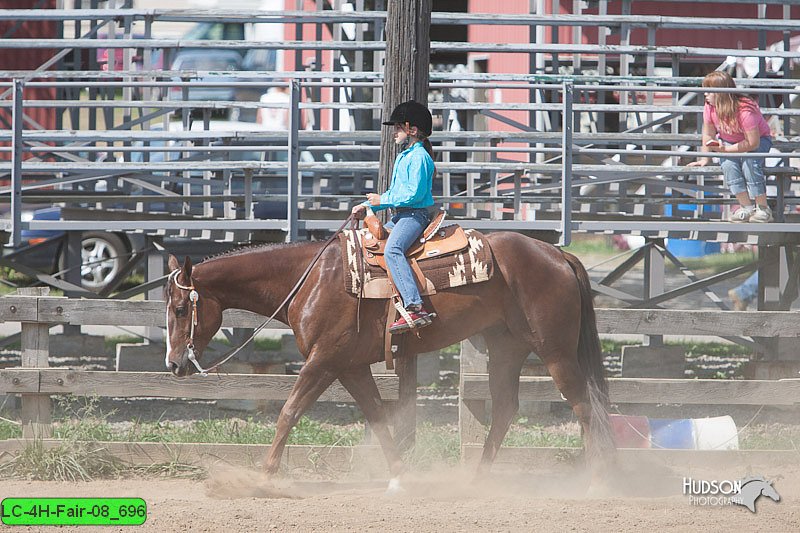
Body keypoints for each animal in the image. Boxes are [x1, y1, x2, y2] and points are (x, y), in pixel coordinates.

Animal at [161, 229, 612, 490]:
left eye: (181, 309)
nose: (174, 364)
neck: (311, 279)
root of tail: (558, 255)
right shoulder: (350, 366)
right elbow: (378, 416)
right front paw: (398, 475)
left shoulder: (323, 361)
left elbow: (289, 411)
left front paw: (263, 478)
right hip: (505, 348)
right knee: (505, 408)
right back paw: (477, 479)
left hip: (555, 351)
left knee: (585, 406)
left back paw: (594, 482)